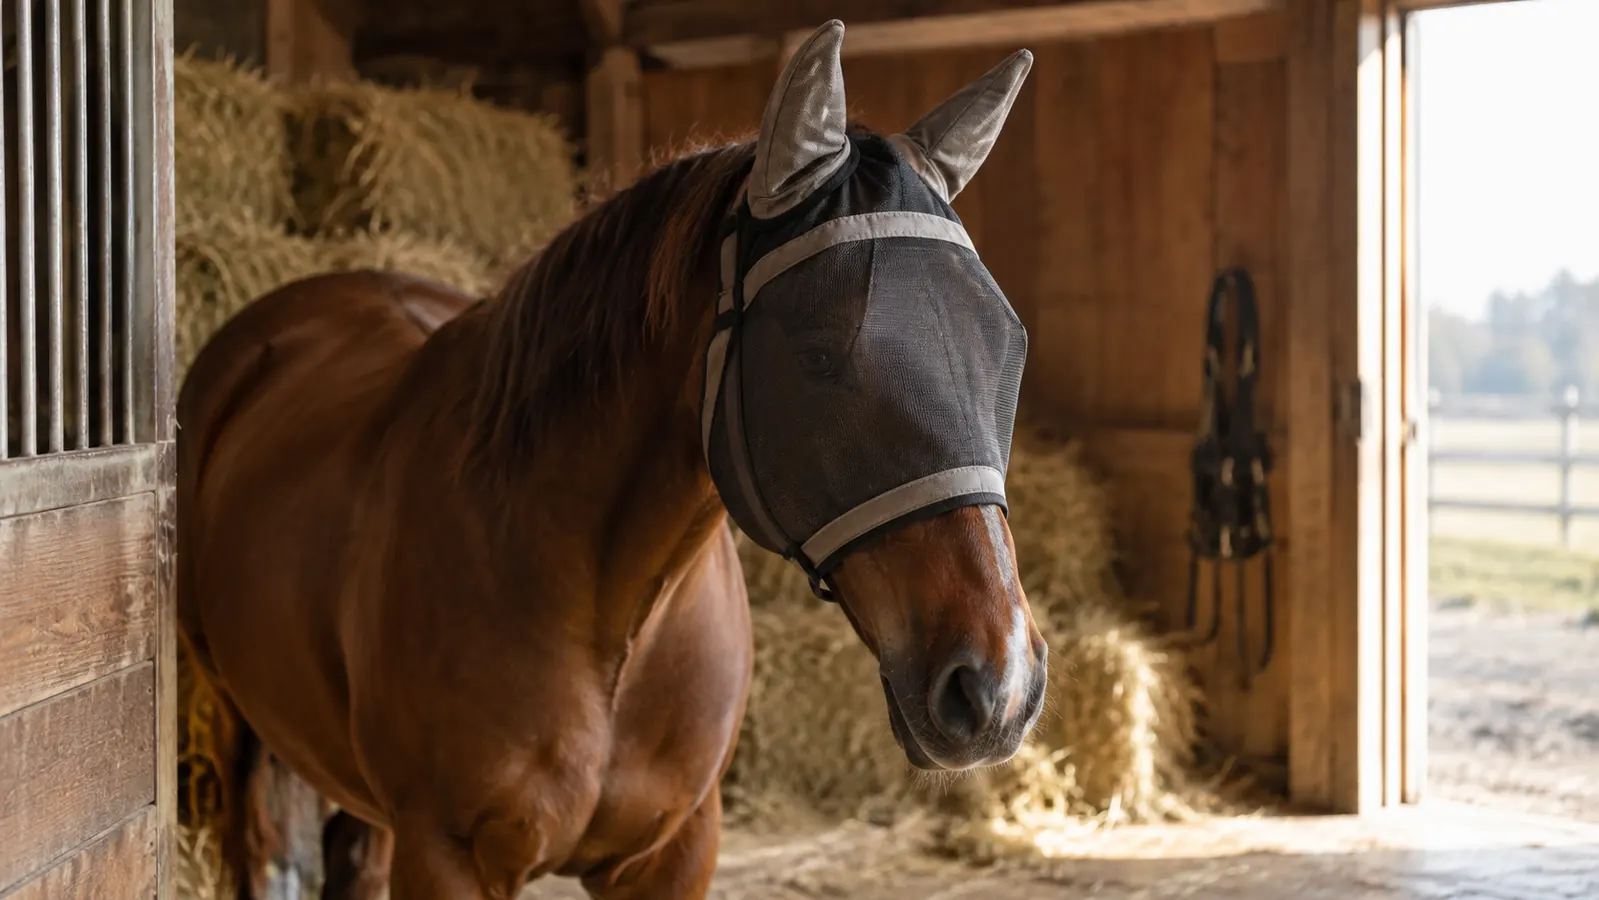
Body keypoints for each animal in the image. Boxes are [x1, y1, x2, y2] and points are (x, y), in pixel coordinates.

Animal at [176, 21, 1046, 900]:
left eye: (1006, 347)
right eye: (819, 353)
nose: (999, 686)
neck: (611, 622)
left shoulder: (673, 852)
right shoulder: (446, 855)